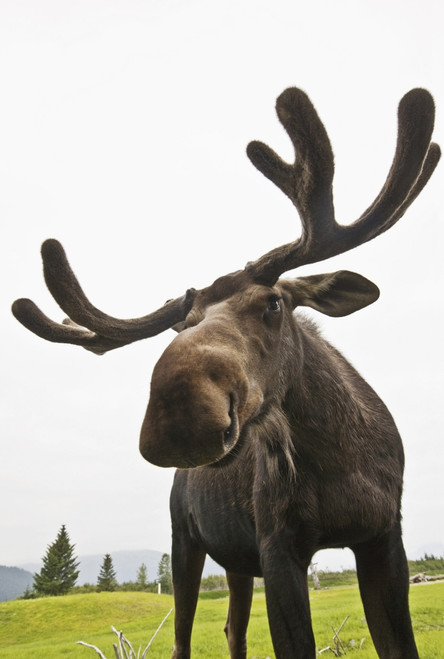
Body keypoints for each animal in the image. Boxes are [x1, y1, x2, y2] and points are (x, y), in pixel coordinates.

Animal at [12, 86, 440, 658]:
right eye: (181, 326)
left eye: (274, 303)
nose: (180, 416)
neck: (338, 461)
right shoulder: (278, 545)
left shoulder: (383, 535)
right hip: (186, 541)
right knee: (187, 637)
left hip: (238, 560)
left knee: (234, 629)